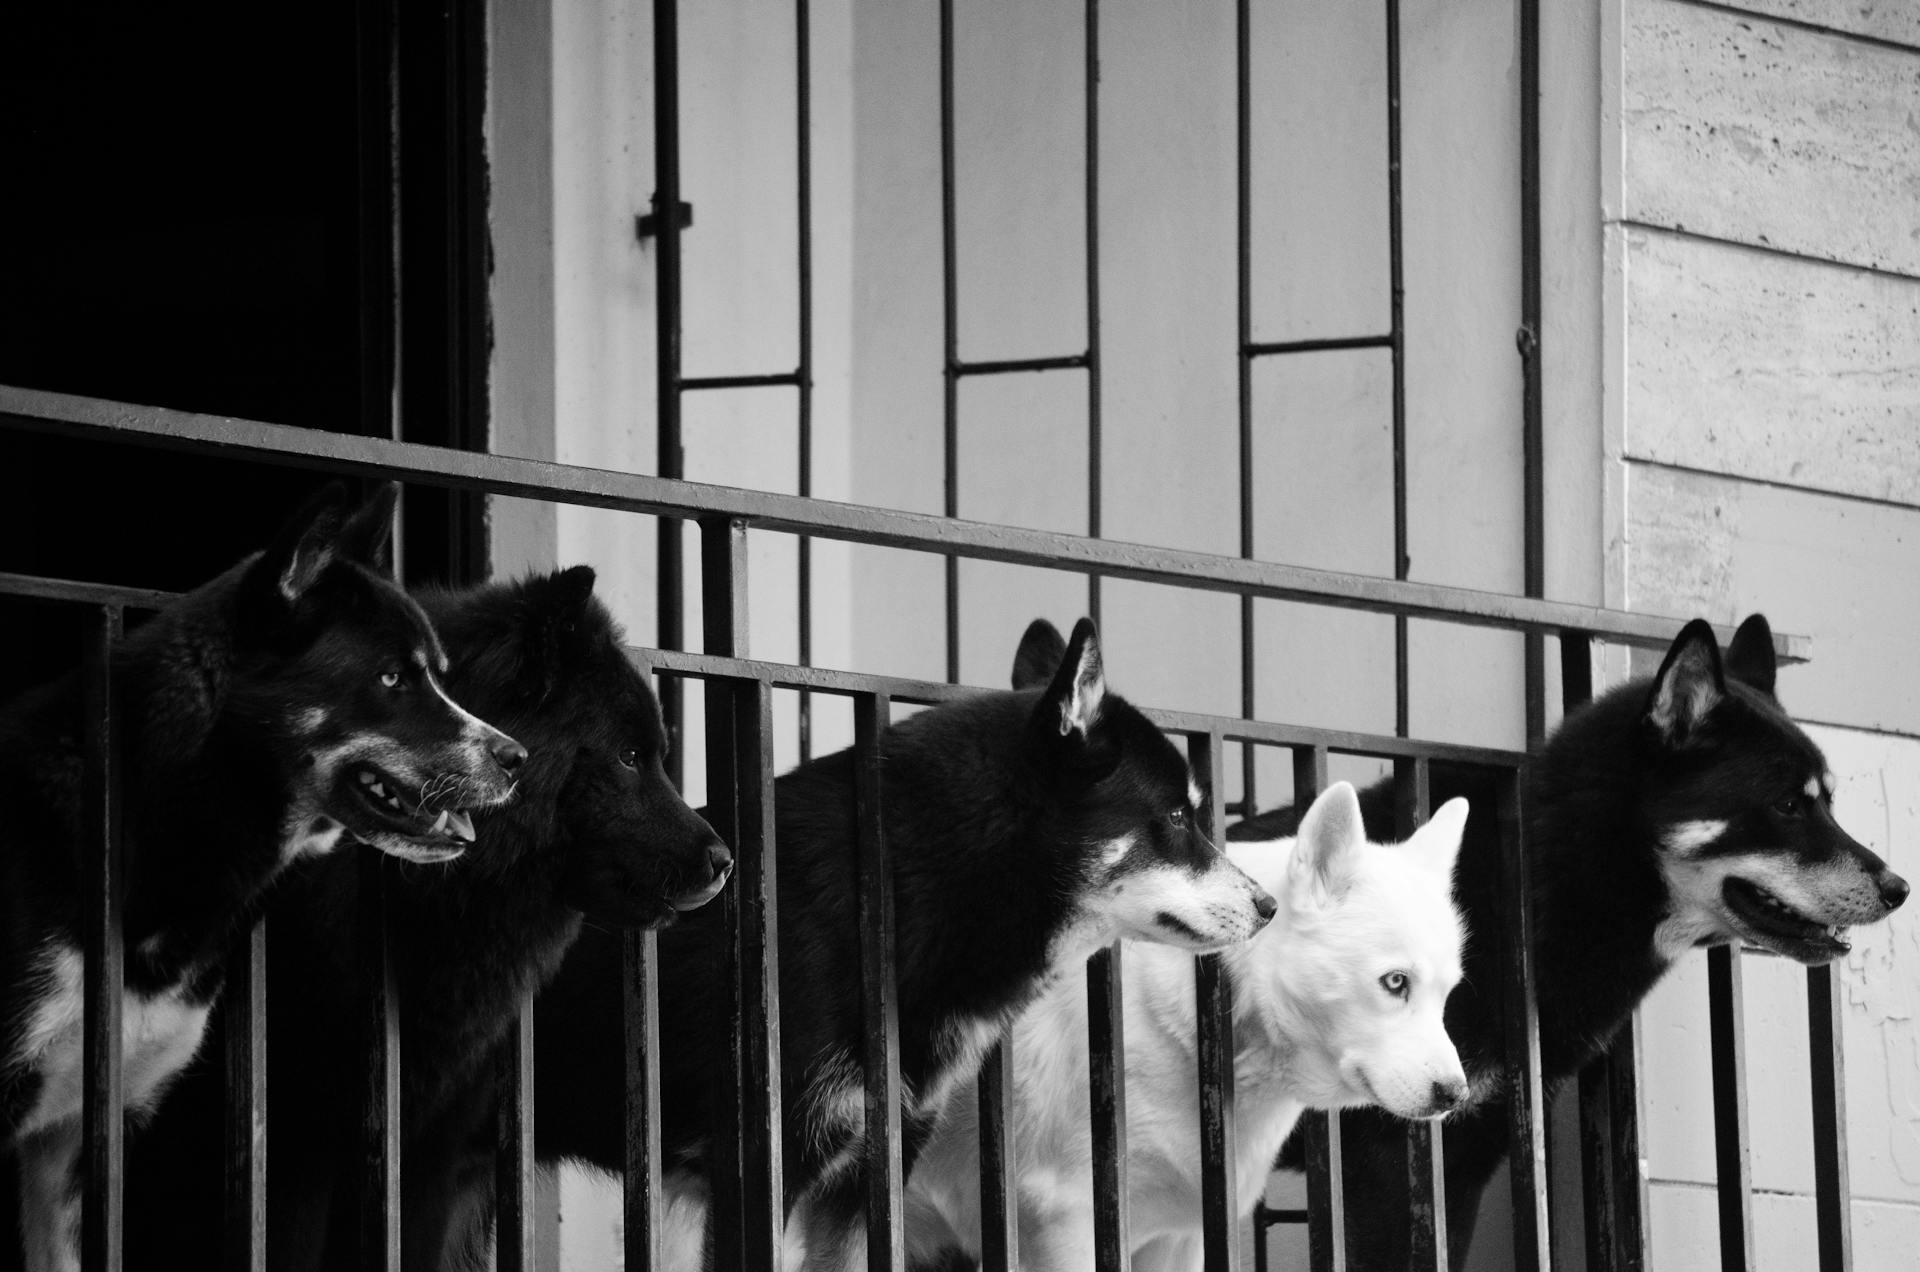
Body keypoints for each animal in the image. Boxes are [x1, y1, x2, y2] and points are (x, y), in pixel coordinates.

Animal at [1228, 614, 1904, 1268]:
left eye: (1829, 801)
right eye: (1788, 804)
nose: (1899, 889)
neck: (1532, 882)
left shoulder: (1463, 1156)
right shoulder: (1394, 1159)